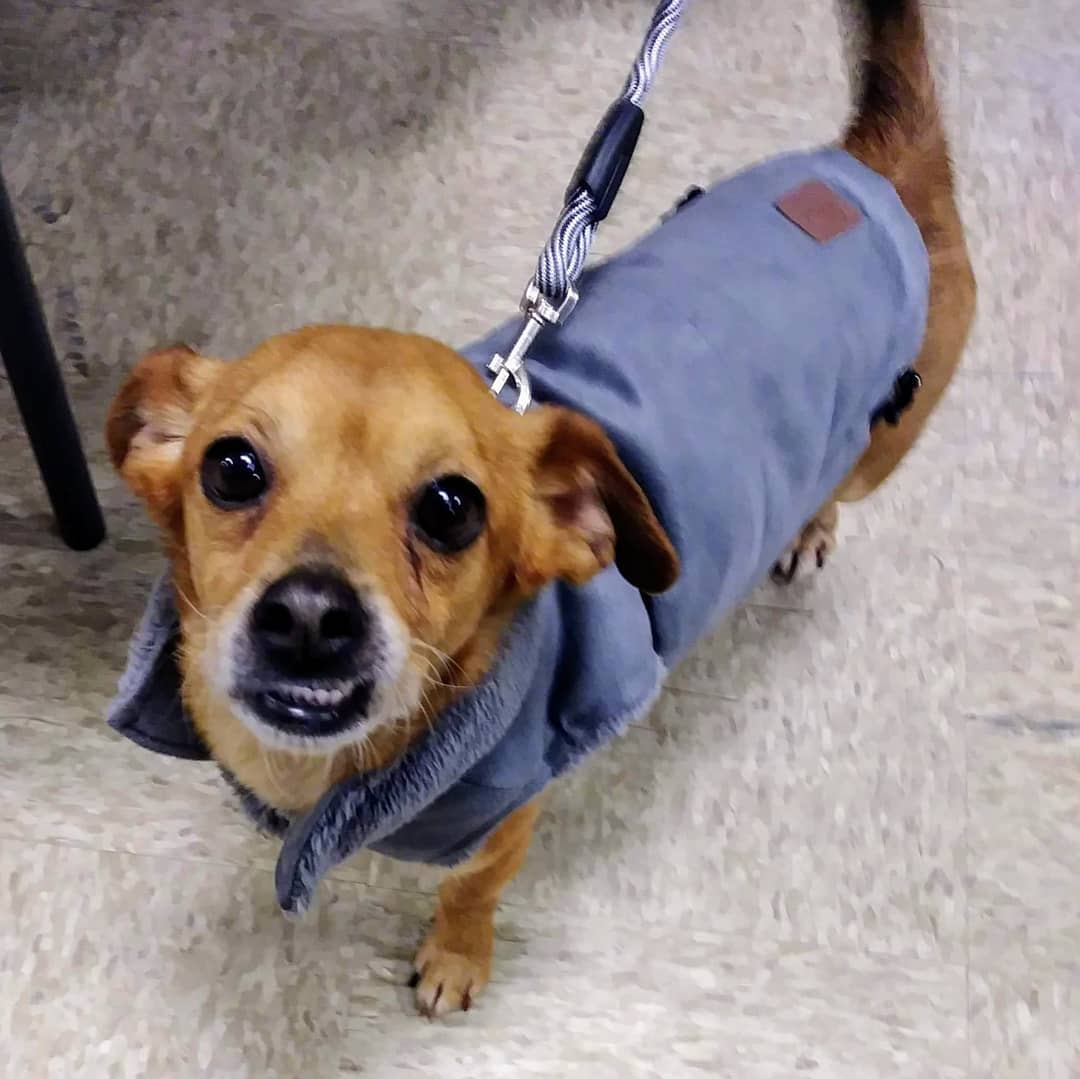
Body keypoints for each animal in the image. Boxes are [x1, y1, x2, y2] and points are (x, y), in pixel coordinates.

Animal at [105, 0, 976, 1015]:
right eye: (232, 468)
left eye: (452, 506)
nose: (311, 617)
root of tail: (873, 165)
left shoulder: (507, 820)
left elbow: (469, 891)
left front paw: (455, 957)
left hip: (881, 443)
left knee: (843, 484)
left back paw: (812, 526)